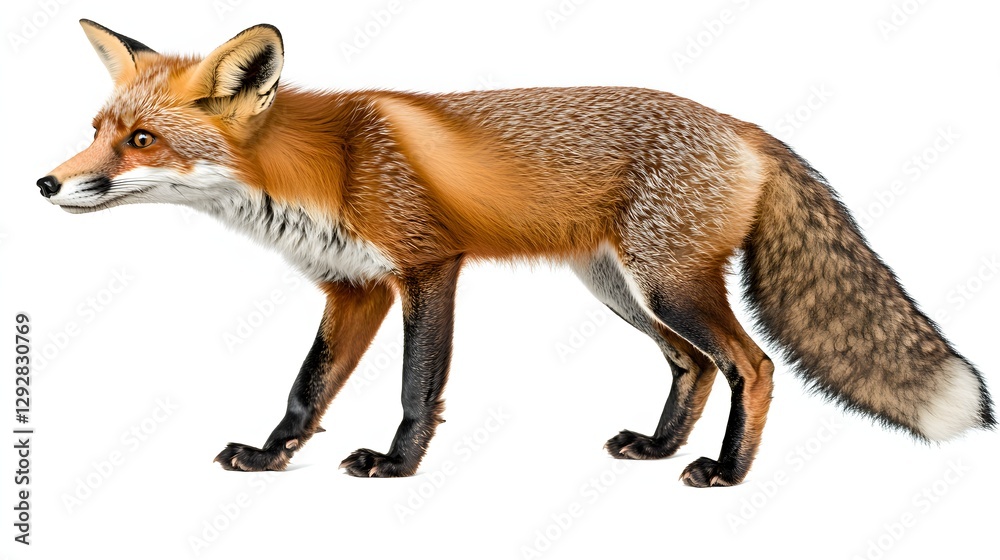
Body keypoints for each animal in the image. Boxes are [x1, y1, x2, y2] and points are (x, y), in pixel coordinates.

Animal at [38, 20, 994, 487]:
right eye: (96, 130)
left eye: (142, 140)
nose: (46, 184)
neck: (325, 166)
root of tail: (741, 125)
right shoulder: (354, 289)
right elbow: (307, 388)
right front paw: (274, 459)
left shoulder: (428, 268)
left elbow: (416, 387)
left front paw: (396, 466)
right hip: (620, 288)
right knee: (694, 365)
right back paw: (657, 448)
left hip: (669, 286)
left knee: (752, 366)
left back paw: (726, 471)